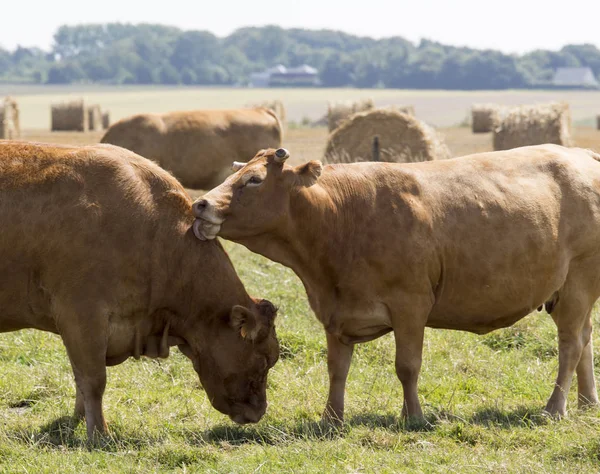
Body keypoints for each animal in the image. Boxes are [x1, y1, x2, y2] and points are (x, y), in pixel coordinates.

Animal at [0, 141, 280, 440]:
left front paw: (79, 418)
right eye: (264, 360)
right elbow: (93, 380)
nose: (259, 412)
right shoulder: (81, 316)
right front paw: (99, 433)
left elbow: (80, 379)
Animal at [191, 143, 600, 422]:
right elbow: (336, 368)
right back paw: (586, 401)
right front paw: (331, 419)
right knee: (585, 339)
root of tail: (581, 154)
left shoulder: (411, 305)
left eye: (254, 180)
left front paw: (413, 416)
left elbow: (407, 366)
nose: (200, 205)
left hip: (578, 282)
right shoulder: (337, 313)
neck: (340, 217)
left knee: (570, 344)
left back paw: (556, 406)